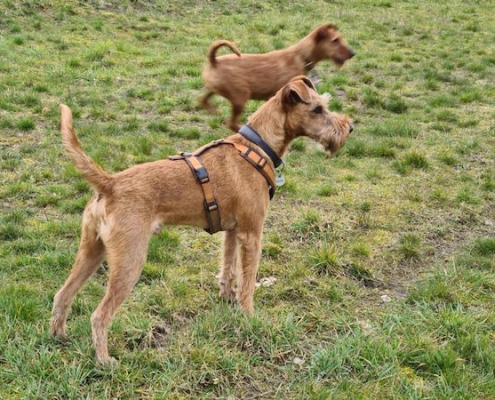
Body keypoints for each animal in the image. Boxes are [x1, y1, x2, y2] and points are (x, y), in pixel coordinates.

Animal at [51, 75, 352, 362]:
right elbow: (247, 283)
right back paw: (105, 360)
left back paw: (59, 337)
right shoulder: (252, 234)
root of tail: (110, 184)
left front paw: (227, 301)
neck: (257, 146)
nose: (349, 128)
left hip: (91, 251)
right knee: (99, 314)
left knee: (62, 294)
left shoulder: (232, 232)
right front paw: (249, 318)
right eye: (317, 109)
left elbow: (228, 270)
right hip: (129, 261)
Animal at [202, 23, 356, 131]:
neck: (301, 56)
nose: (353, 53)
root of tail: (214, 61)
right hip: (240, 98)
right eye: (335, 40)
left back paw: (213, 109)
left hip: (219, 92)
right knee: (232, 123)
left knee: (203, 99)